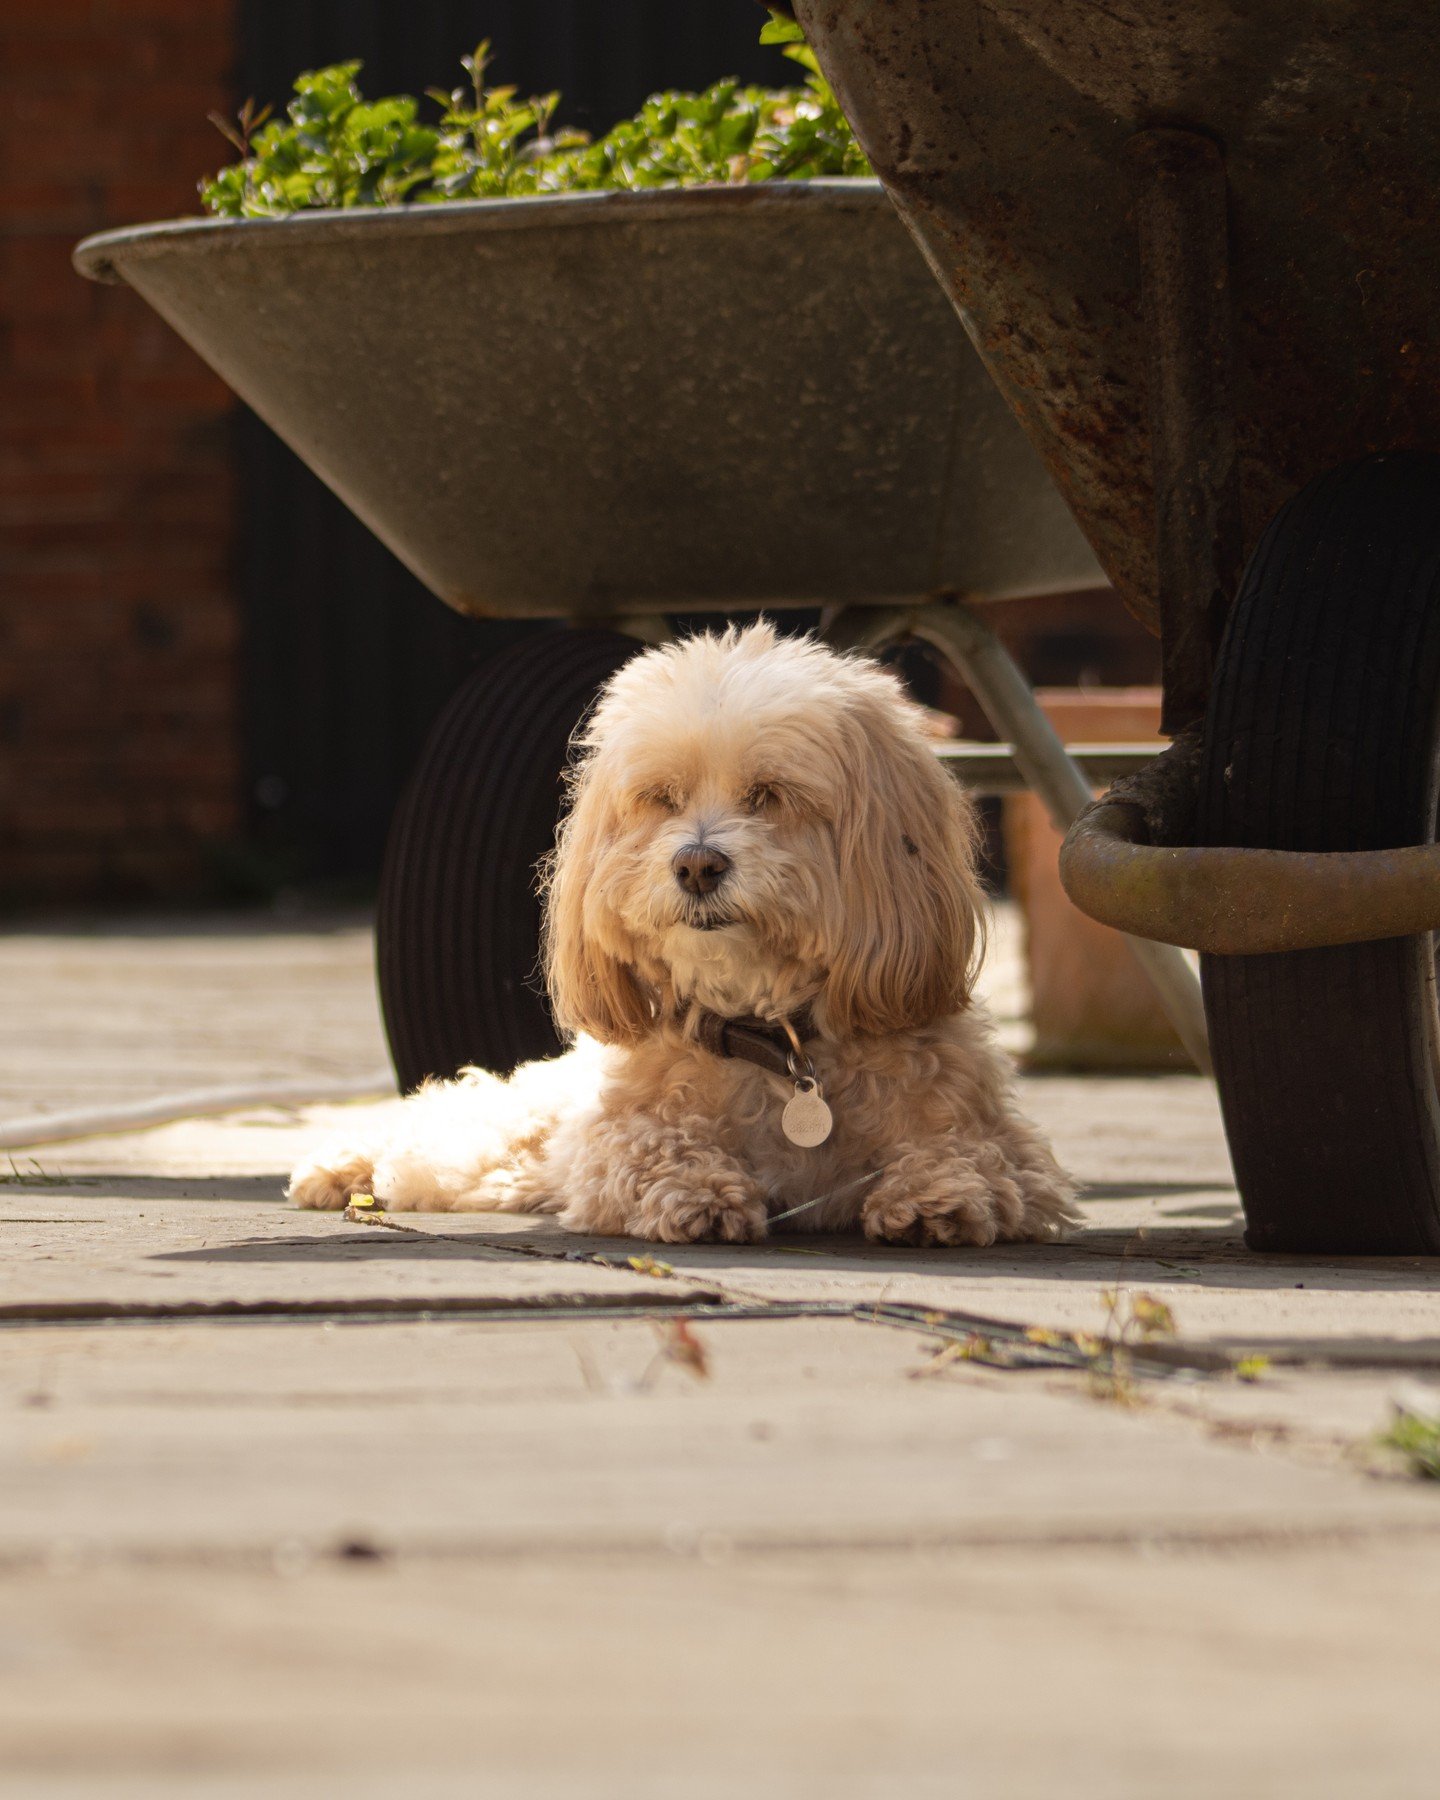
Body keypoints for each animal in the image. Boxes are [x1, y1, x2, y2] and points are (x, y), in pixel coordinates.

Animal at [289, 626, 1065, 1245]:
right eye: (662, 797)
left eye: (769, 794)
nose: (696, 865)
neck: (775, 1041)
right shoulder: (608, 1144)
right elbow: (653, 1146)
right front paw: (699, 1191)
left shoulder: (1007, 1146)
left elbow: (977, 1155)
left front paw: (938, 1194)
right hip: (501, 1139)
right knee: (443, 1120)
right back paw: (338, 1167)